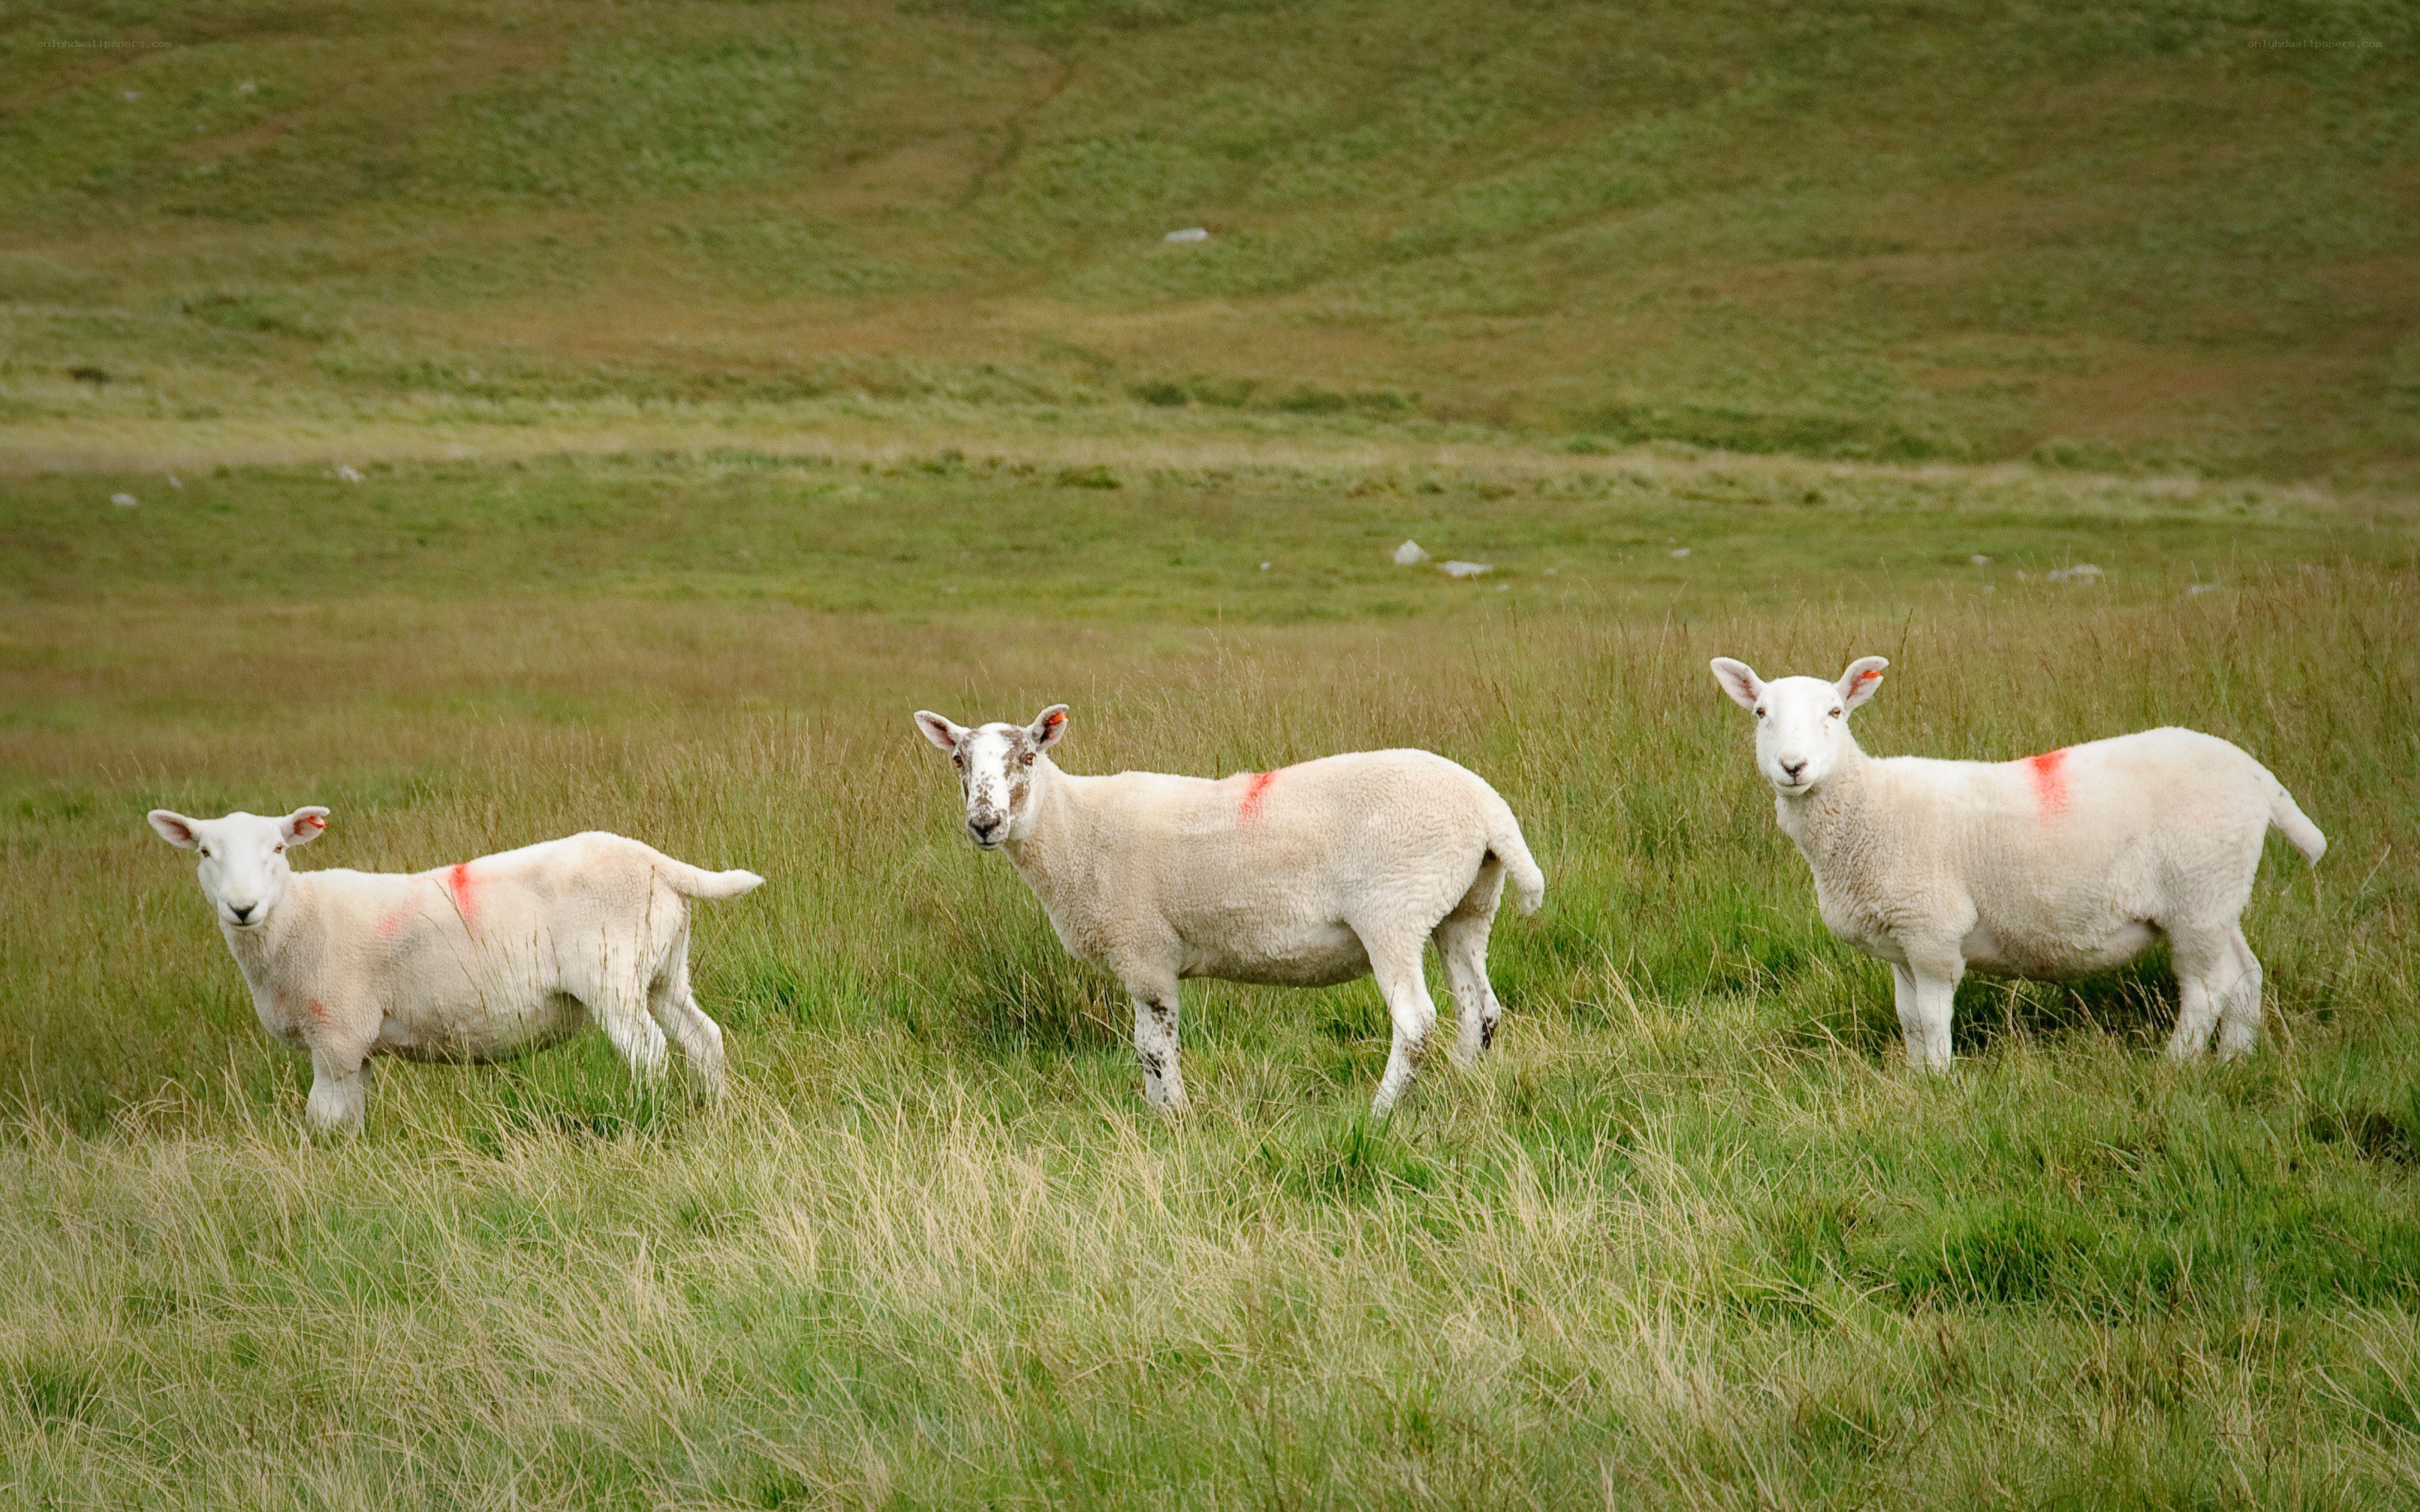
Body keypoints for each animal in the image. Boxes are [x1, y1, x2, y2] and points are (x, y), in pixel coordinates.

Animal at [146, 807, 762, 1132]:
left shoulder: (337, 1034)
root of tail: (653, 860)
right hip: (663, 971)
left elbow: (323, 1114)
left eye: (277, 848)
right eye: (204, 853)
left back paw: (647, 1118)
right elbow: (350, 1112)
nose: (241, 907)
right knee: (703, 1038)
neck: (296, 919)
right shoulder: (355, 1046)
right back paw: (715, 1113)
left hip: (612, 976)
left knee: (650, 1052)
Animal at [913, 705, 1545, 1116]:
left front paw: (1173, 1119)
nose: (984, 824)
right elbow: (1149, 1047)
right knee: (1480, 1010)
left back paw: (1381, 1111)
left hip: (1394, 909)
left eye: (1026, 757)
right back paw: (1461, 1087)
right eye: (958, 761)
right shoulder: (1142, 956)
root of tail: (1489, 810)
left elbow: (1154, 1047)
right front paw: (1160, 1115)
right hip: (1464, 906)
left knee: (1416, 1021)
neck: (1074, 829)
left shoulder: (1143, 951)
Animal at [1708, 656, 2326, 1069]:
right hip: (2218, 894)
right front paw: (1915, 1078)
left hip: (2197, 895)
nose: (1793, 766)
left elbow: (1931, 1018)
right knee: (2244, 976)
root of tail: (2255, 774)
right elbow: (1909, 1018)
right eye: (1760, 713)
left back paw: (2175, 1066)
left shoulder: (1932, 931)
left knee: (2206, 991)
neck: (1868, 808)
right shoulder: (1900, 940)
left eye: (1835, 712)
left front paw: (1938, 1083)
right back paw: (2234, 1063)